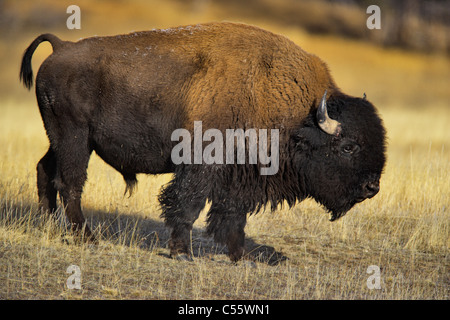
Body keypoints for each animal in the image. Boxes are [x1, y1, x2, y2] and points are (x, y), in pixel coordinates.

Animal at [21, 23, 384, 262]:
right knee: (70, 182)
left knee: (45, 169)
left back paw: (48, 224)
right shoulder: (202, 164)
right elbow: (188, 204)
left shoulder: (241, 176)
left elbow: (233, 215)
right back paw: (87, 238)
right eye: (348, 146)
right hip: (75, 138)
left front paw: (241, 256)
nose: (372, 188)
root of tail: (61, 46)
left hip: (61, 139)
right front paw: (182, 253)